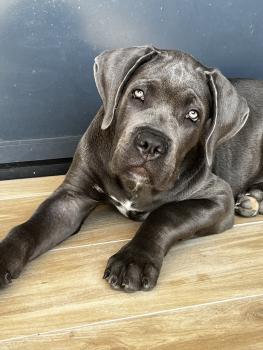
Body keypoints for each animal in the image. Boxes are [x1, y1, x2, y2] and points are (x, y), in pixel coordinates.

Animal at [0, 45, 263, 292]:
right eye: (138, 93)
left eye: (193, 115)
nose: (151, 143)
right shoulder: (71, 196)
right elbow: (28, 228)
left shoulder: (218, 198)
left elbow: (165, 215)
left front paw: (134, 259)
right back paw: (252, 199)